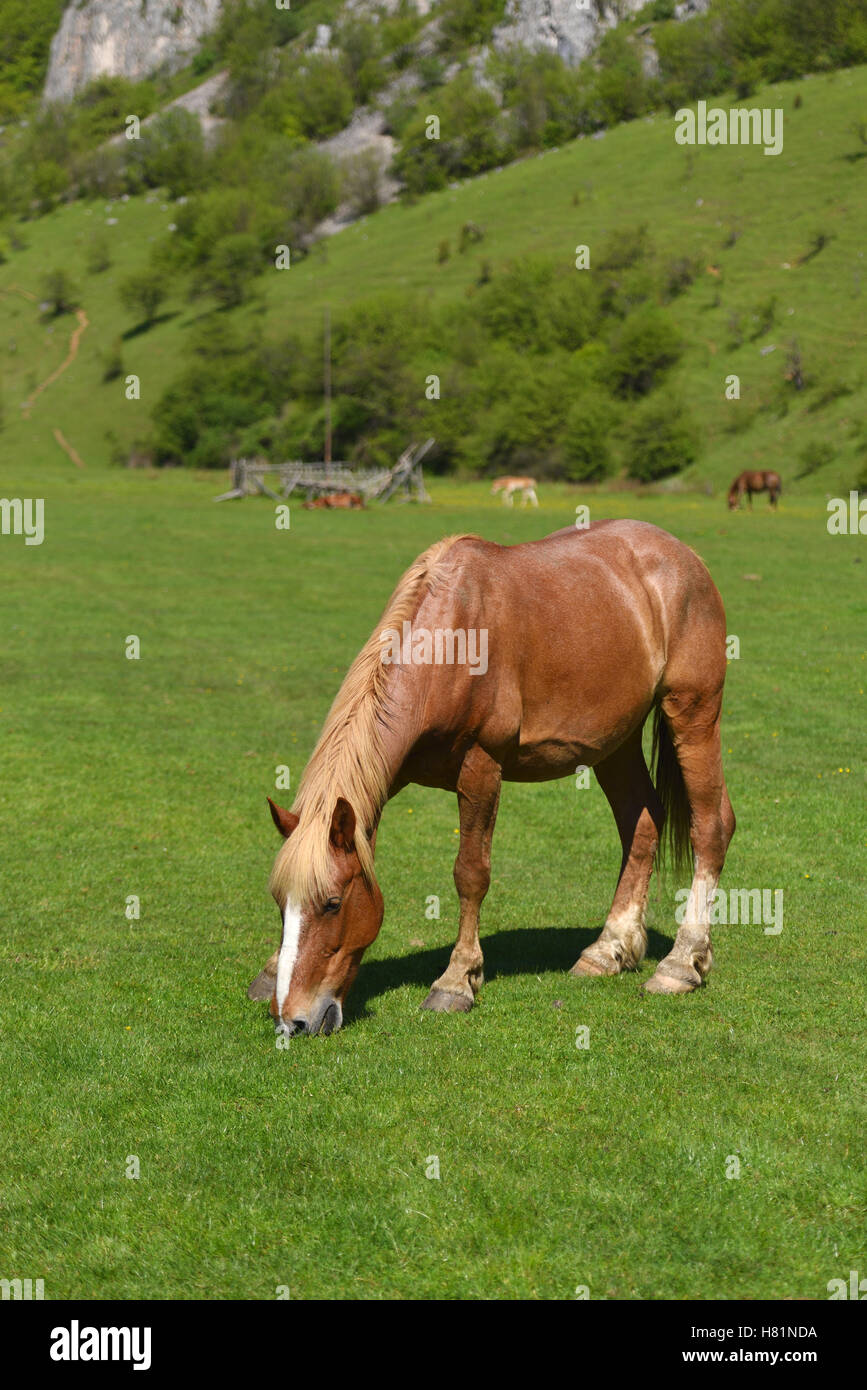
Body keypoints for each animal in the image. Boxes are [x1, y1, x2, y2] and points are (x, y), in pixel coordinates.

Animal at [247, 522, 733, 1034]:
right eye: (280, 902)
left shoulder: (481, 767)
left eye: (333, 903)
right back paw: (608, 950)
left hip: (693, 713)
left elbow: (470, 874)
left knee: (711, 828)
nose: (293, 1021)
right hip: (614, 743)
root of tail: (683, 554)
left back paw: (681, 964)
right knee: (641, 825)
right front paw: (270, 972)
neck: (452, 641)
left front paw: (456, 981)